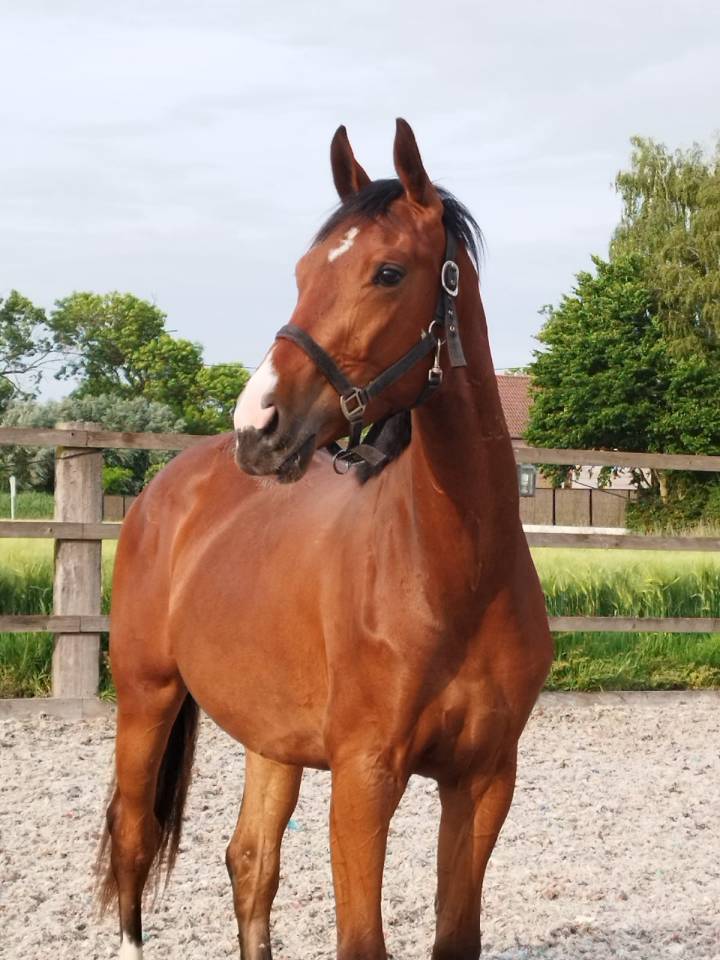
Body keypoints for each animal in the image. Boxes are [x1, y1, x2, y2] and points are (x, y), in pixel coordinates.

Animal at [97, 118, 553, 960]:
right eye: (304, 270)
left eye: (387, 272)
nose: (257, 426)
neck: (456, 574)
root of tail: (160, 495)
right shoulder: (364, 777)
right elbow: (361, 940)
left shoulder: (483, 780)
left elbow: (455, 935)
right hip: (147, 699)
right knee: (135, 844)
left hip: (269, 736)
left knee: (251, 862)